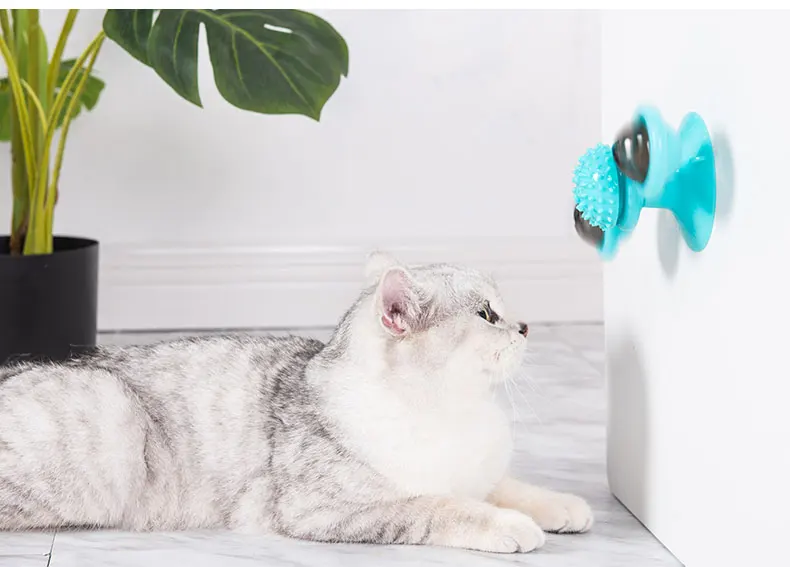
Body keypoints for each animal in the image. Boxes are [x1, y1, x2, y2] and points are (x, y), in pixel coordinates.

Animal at [0, 251, 593, 554]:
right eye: (487, 315)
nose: (525, 326)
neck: (453, 410)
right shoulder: (329, 508)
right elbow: (437, 505)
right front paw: (510, 525)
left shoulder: (483, 472)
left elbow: (506, 485)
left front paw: (561, 505)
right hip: (111, 420)